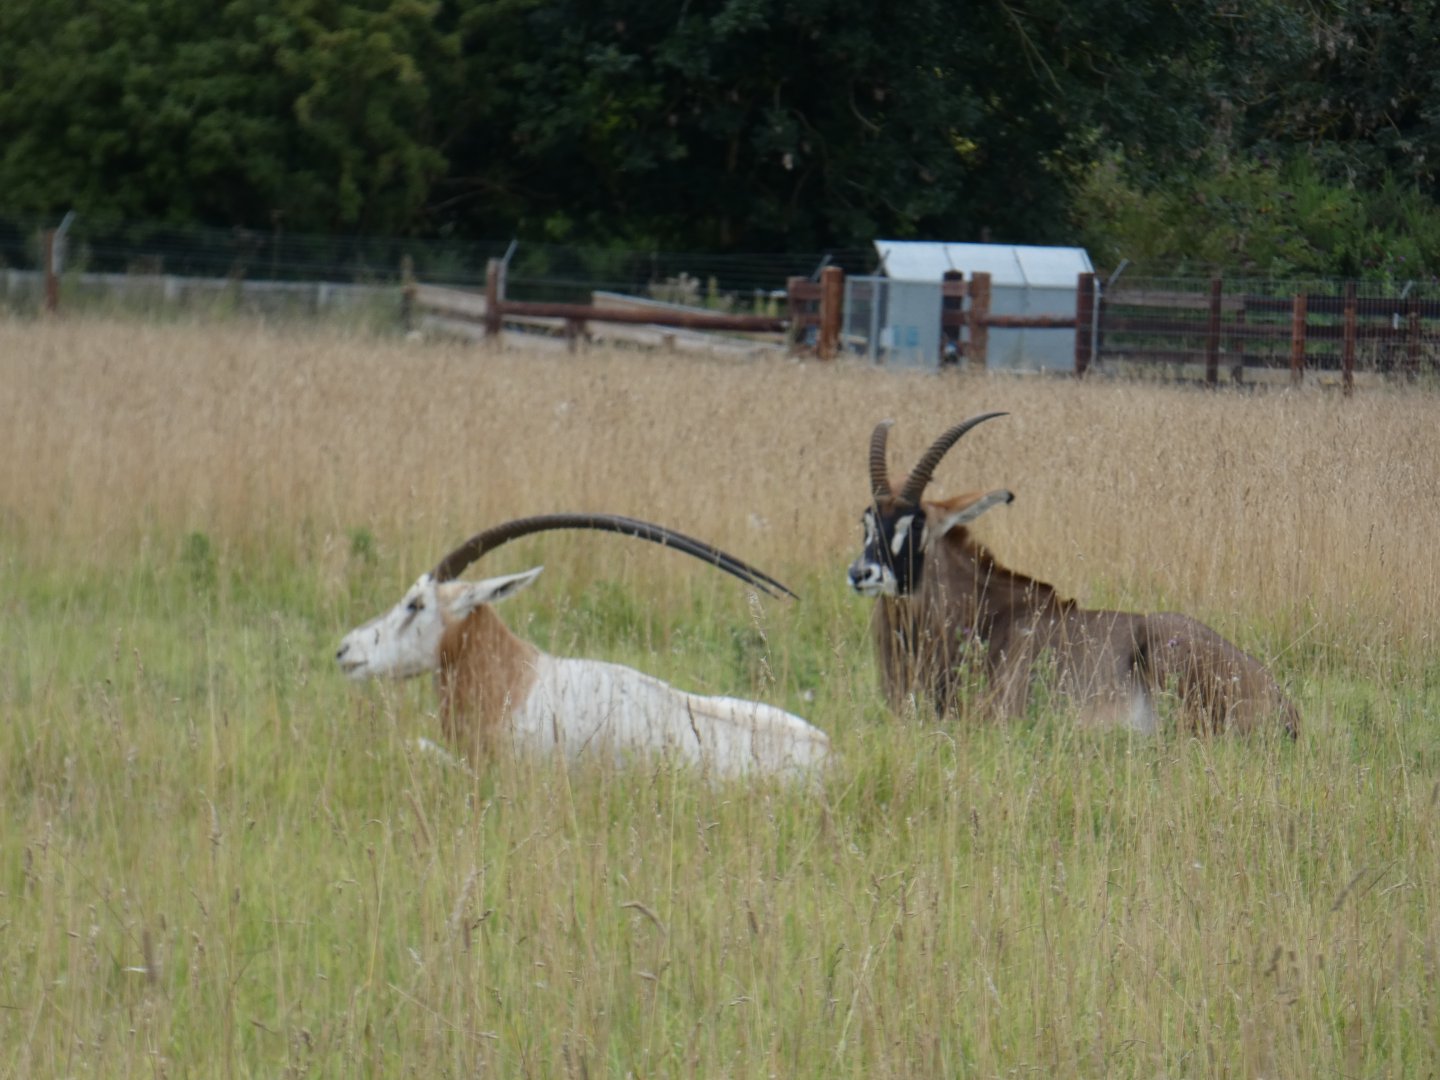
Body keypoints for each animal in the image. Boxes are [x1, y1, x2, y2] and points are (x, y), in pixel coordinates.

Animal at [848, 416, 1299, 737]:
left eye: (914, 523)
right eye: (867, 520)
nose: (861, 573)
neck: (982, 618)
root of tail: (1282, 701)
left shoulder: (996, 715)